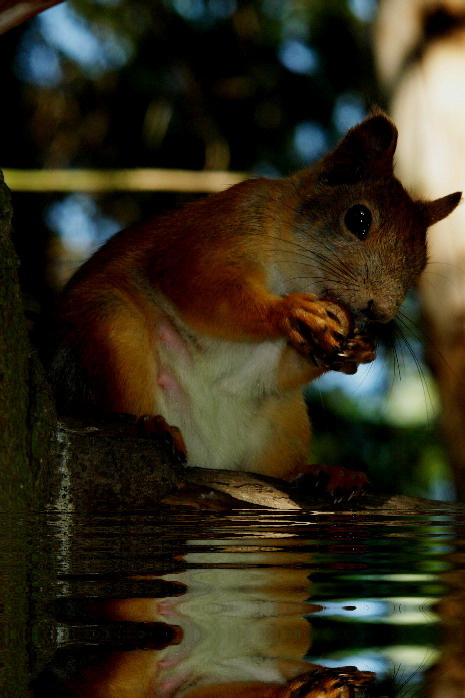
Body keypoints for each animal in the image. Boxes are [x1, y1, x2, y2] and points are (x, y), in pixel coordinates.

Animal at [50, 112, 461, 487]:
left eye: (421, 264)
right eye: (358, 218)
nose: (381, 312)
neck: (289, 270)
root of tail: (207, 458)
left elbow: (281, 369)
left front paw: (359, 349)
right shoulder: (205, 237)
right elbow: (203, 288)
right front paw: (290, 310)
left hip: (285, 419)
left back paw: (321, 474)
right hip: (112, 331)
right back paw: (148, 427)